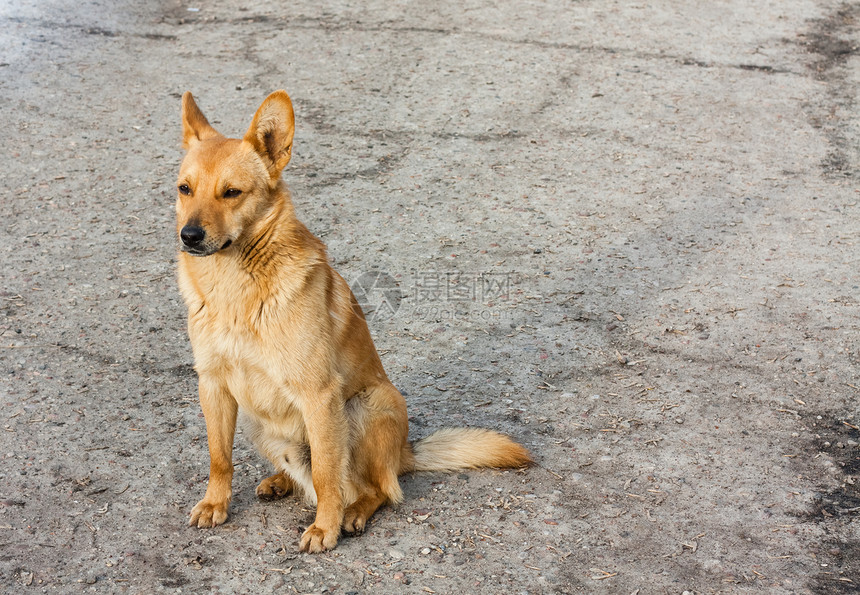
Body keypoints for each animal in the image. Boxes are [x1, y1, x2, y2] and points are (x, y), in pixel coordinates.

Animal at [175, 91, 532, 552]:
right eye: (184, 189)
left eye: (232, 193)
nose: (189, 236)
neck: (235, 288)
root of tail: (405, 452)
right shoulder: (213, 384)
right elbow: (219, 458)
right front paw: (215, 503)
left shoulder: (319, 395)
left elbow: (328, 475)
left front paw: (325, 527)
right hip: (260, 424)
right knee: (306, 473)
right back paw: (280, 481)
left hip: (363, 407)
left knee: (374, 487)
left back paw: (353, 513)